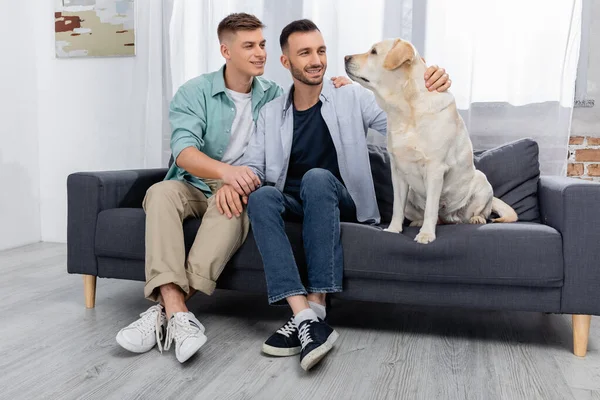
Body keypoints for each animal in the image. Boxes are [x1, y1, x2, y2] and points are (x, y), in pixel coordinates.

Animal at [344, 38, 516, 244]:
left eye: (374, 52)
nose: (345, 57)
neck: (406, 109)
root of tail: (450, 217)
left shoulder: (435, 169)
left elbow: (431, 209)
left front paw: (426, 235)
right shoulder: (398, 171)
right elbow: (397, 207)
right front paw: (393, 230)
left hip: (482, 182)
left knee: (478, 212)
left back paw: (476, 218)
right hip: (412, 194)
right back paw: (418, 222)